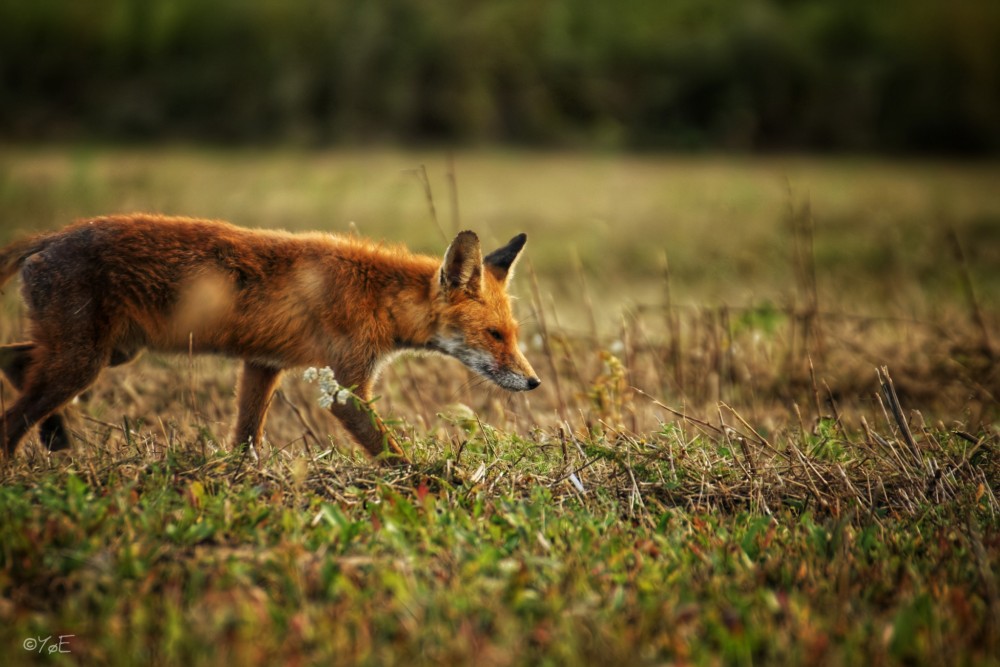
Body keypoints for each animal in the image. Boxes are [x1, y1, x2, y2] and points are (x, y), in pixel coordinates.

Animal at [0, 217, 540, 462]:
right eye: (493, 335)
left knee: (16, 363)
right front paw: (435, 483)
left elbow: (246, 436)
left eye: (514, 335)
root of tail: (51, 236)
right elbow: (389, 449)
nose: (533, 382)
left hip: (109, 353)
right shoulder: (344, 388)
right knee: (11, 417)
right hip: (84, 361)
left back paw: (56, 439)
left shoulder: (263, 364)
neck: (377, 297)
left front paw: (242, 478)